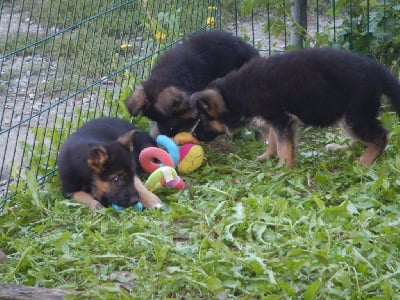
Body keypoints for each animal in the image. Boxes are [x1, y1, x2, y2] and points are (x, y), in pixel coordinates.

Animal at [189, 48, 400, 168]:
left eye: (204, 119)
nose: (193, 135)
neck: (239, 92)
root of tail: (377, 70)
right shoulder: (275, 120)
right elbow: (274, 140)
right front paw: (267, 157)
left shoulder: (283, 119)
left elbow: (284, 146)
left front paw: (282, 168)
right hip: (350, 115)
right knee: (363, 138)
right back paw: (341, 148)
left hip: (355, 114)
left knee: (381, 136)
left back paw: (365, 160)